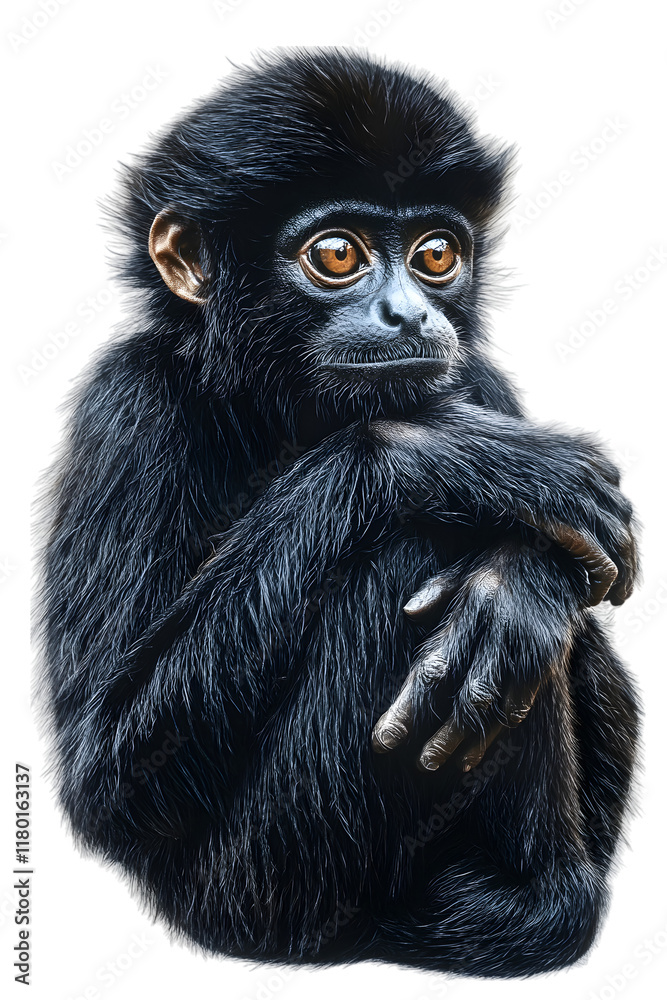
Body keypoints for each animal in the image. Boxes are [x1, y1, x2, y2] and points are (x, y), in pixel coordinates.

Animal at [36, 49, 639, 977]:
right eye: (335, 255)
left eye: (435, 254)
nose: (409, 312)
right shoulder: (129, 406)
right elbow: (107, 777)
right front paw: (441, 456)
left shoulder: (479, 375)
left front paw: (514, 587)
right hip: (257, 884)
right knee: (404, 552)